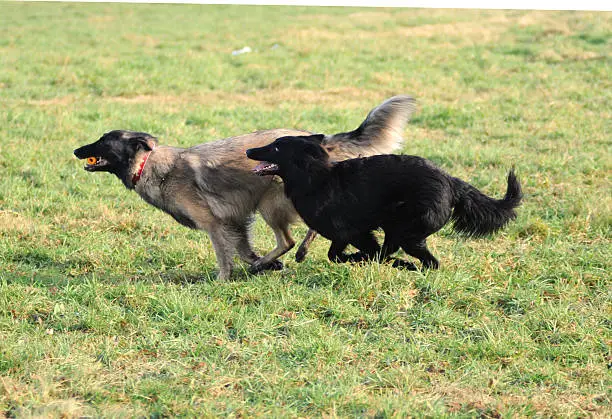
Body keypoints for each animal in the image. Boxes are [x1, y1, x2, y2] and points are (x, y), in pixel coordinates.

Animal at [246, 136, 524, 270]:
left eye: (277, 147)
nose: (249, 150)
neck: (315, 178)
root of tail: (451, 182)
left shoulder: (354, 233)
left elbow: (343, 254)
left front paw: (358, 258)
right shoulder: (352, 234)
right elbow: (342, 254)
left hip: (406, 230)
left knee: (428, 262)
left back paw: (404, 265)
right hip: (398, 230)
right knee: (408, 258)